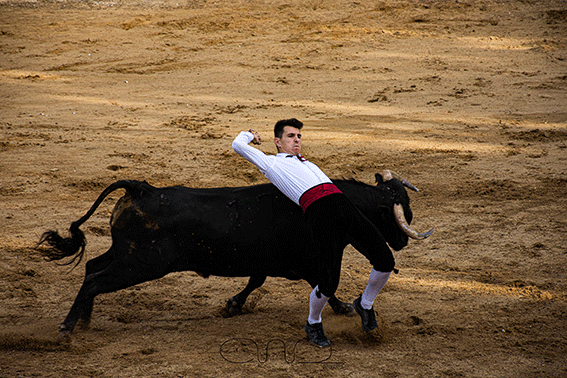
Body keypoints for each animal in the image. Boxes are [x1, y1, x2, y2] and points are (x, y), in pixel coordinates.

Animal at [38, 171, 430, 334]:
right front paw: (346, 308)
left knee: (91, 267)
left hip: (125, 254)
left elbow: (257, 280)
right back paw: (68, 329)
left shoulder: (270, 262)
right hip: (140, 263)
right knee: (94, 280)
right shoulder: (311, 260)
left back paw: (84, 321)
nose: (402, 243)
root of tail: (142, 188)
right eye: (398, 213)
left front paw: (232, 305)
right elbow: (323, 285)